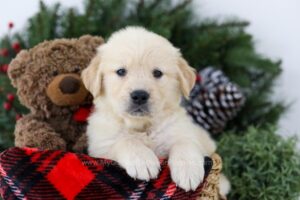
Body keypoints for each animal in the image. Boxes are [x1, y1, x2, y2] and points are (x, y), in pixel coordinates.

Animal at [81, 27, 221, 192]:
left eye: (157, 73)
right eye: (121, 71)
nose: (139, 96)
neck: (143, 127)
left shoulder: (185, 132)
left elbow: (185, 142)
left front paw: (188, 170)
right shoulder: (100, 147)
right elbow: (125, 140)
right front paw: (143, 160)